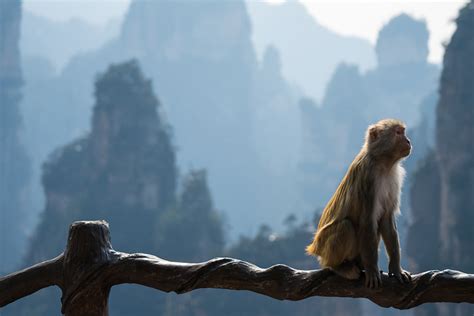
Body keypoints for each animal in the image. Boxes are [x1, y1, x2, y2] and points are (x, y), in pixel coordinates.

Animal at [306, 118, 412, 288]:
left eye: (403, 132)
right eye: (398, 132)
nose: (408, 141)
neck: (382, 163)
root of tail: (315, 248)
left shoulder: (394, 179)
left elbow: (386, 220)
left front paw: (396, 269)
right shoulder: (368, 178)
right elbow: (367, 221)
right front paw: (372, 271)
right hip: (324, 247)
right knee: (346, 227)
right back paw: (339, 267)